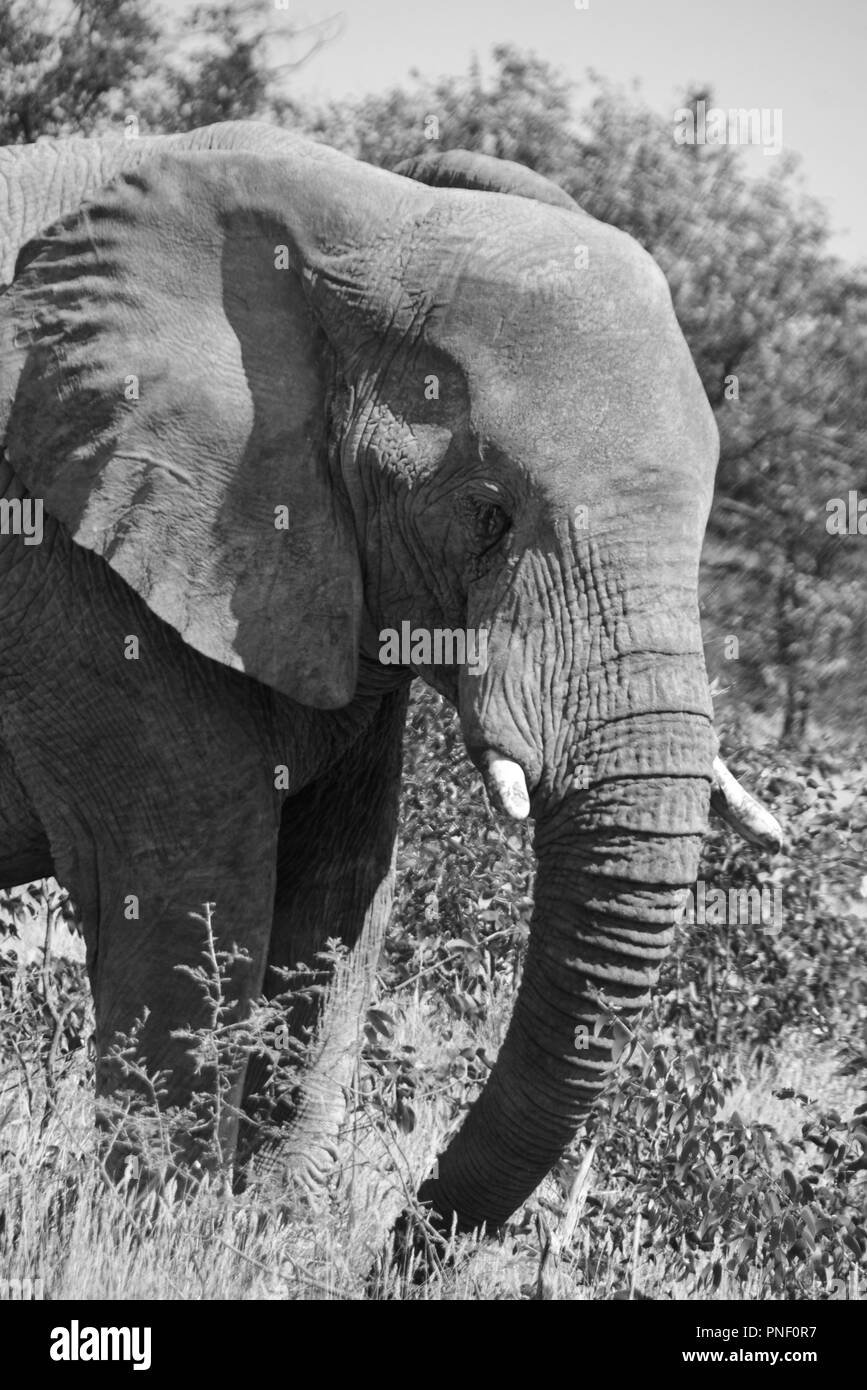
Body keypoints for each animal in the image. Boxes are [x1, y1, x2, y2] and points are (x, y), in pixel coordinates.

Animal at [0, 116, 778, 1228]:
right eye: (488, 516)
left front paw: (265, 1233)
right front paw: (158, 1234)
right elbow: (189, 883)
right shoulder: (67, 559)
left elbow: (340, 888)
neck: (367, 215)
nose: (402, 1238)